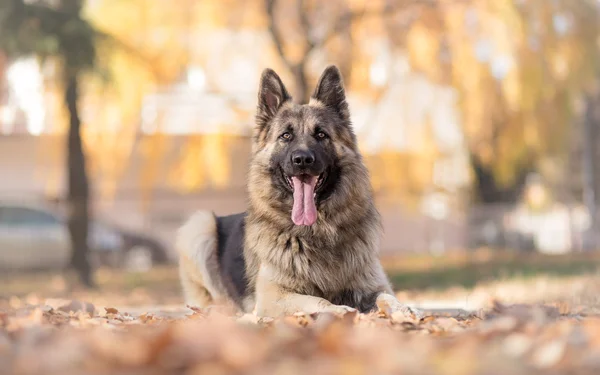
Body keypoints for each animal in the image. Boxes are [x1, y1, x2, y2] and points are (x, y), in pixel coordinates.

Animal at [177, 66, 422, 318]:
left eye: (321, 134)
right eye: (286, 136)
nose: (302, 159)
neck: (318, 230)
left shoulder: (374, 286)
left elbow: (388, 297)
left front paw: (405, 309)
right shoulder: (273, 297)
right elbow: (318, 300)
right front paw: (339, 310)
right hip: (200, 225)